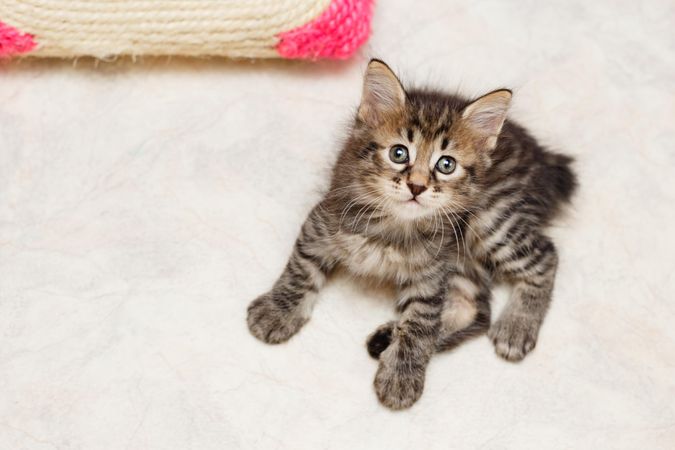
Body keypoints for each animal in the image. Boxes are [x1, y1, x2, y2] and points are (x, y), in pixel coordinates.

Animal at [246, 60, 580, 412]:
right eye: (399, 153)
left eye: (446, 164)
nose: (417, 186)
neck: (394, 225)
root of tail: (544, 159)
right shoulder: (322, 221)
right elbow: (300, 269)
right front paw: (276, 311)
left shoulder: (431, 273)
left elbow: (420, 326)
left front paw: (401, 375)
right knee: (477, 309)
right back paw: (385, 338)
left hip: (491, 219)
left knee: (545, 257)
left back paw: (516, 327)